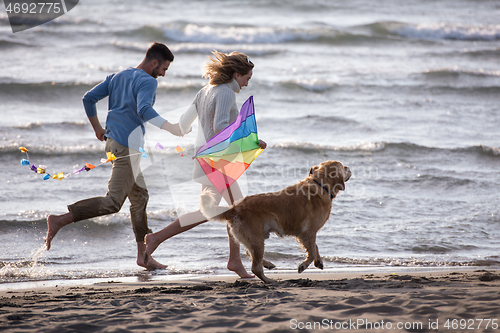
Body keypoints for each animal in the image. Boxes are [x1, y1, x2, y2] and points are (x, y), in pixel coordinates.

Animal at [200, 160, 352, 282]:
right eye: (343, 167)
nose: (349, 167)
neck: (321, 185)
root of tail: (235, 208)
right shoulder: (309, 231)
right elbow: (313, 250)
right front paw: (303, 265)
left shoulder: (306, 234)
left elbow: (315, 247)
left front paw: (318, 261)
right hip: (257, 240)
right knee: (255, 267)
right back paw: (269, 280)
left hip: (252, 239)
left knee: (250, 254)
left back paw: (267, 264)